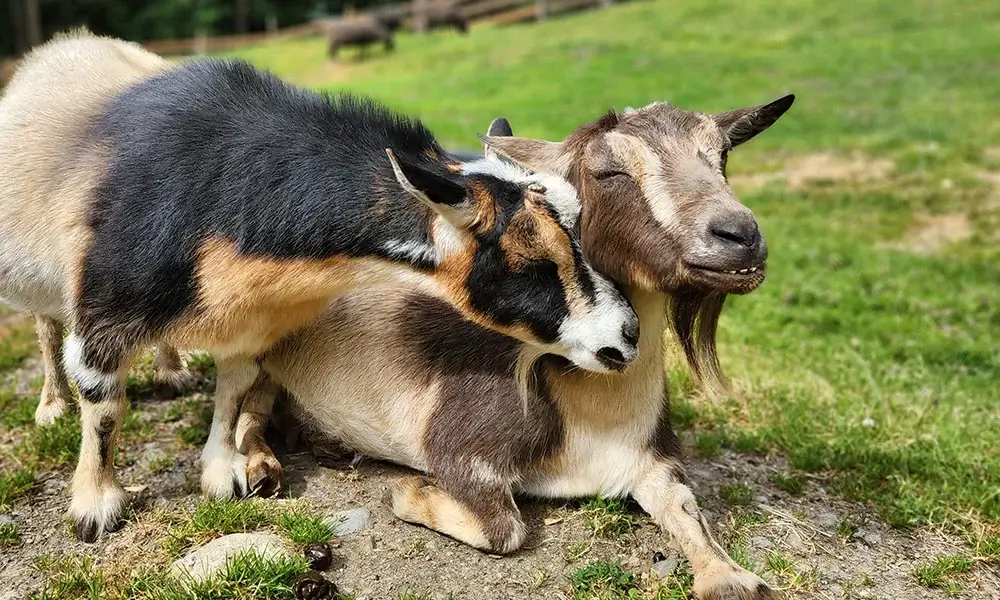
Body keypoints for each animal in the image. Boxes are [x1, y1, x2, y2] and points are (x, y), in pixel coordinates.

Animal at [0, 32, 639, 542]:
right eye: (530, 261)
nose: (627, 335)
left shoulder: (251, 324)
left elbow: (231, 391)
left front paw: (220, 472)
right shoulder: (107, 305)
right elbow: (106, 405)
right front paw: (94, 506)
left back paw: (172, 369)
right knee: (47, 325)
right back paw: (52, 406)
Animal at [242, 97, 794, 600]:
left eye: (723, 155)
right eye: (609, 170)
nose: (740, 235)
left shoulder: (654, 462)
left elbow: (686, 509)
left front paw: (730, 578)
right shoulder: (461, 449)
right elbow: (504, 529)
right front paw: (407, 494)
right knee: (251, 405)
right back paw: (264, 468)